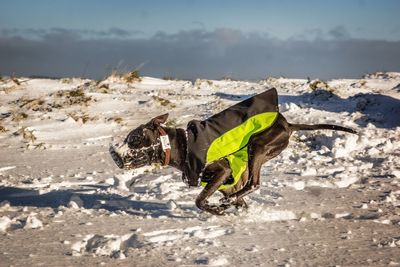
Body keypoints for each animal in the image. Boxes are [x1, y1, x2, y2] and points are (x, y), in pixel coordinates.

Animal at [110, 89, 356, 216]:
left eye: (133, 139)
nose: (114, 153)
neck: (180, 145)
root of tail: (288, 124)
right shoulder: (225, 182)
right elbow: (234, 200)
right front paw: (230, 209)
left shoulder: (222, 171)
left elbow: (200, 200)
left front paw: (216, 210)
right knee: (248, 187)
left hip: (257, 146)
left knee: (255, 183)